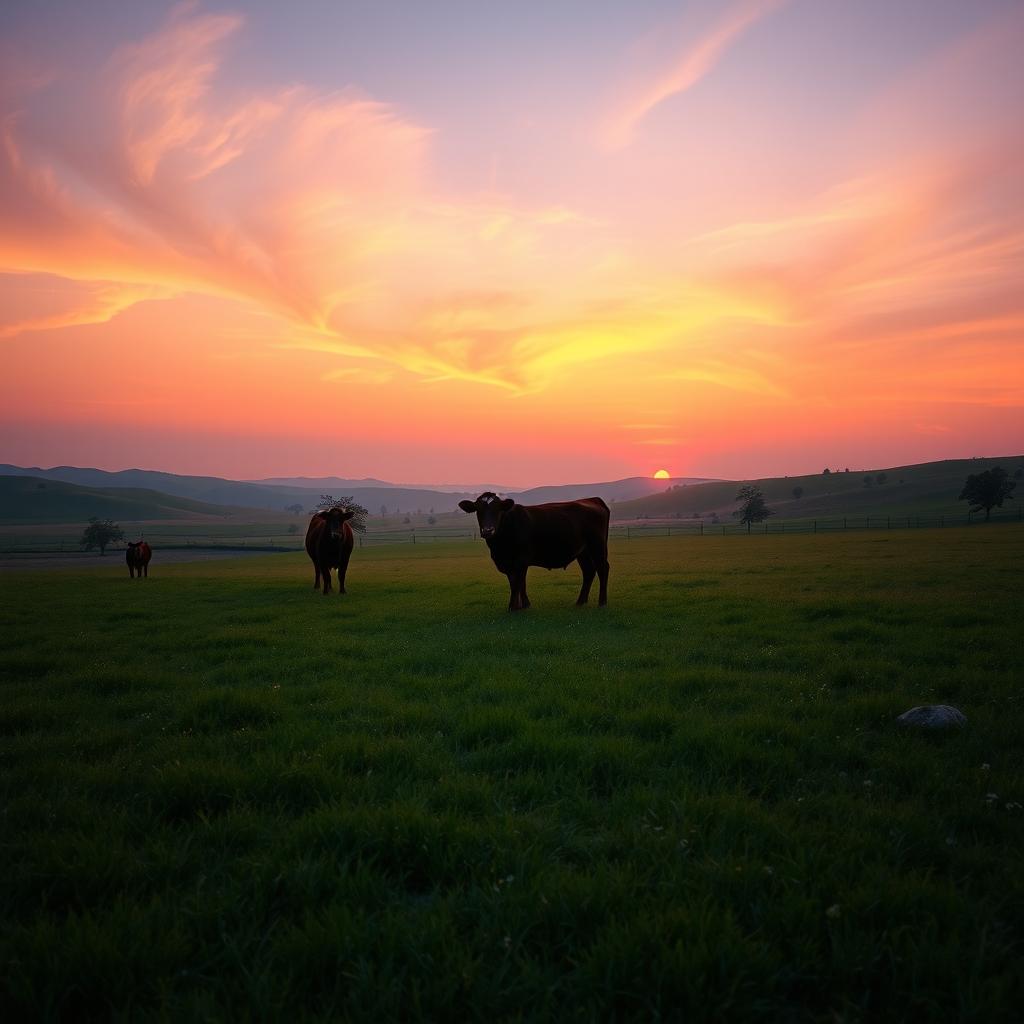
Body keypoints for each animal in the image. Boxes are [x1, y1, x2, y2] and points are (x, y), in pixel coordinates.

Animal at [458, 493, 606, 610]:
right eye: (478, 510)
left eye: (498, 509)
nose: (488, 530)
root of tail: (592, 500)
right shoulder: (508, 563)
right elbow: (516, 582)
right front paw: (523, 605)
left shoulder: (520, 560)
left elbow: (517, 582)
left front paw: (513, 607)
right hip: (583, 552)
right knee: (589, 571)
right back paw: (580, 602)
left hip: (597, 546)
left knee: (603, 569)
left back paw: (602, 602)